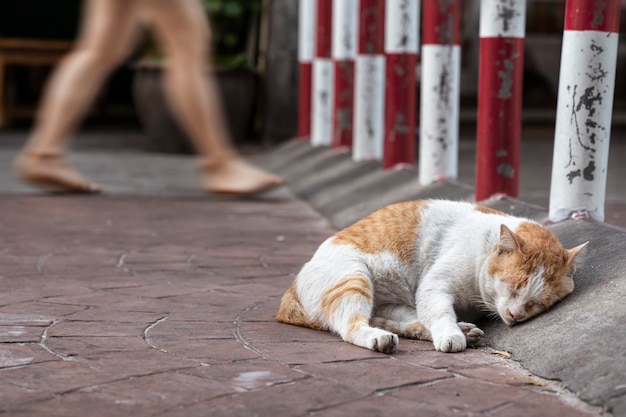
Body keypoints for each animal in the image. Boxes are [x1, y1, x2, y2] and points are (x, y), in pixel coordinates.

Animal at [276, 198, 588, 352]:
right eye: (512, 287)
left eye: (537, 303)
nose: (516, 315)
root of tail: (289, 292)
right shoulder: (435, 287)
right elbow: (440, 314)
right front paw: (450, 335)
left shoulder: (425, 295)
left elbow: (433, 316)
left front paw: (455, 331)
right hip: (353, 279)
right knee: (352, 328)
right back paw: (382, 338)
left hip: (394, 304)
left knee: (407, 322)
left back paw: (464, 331)